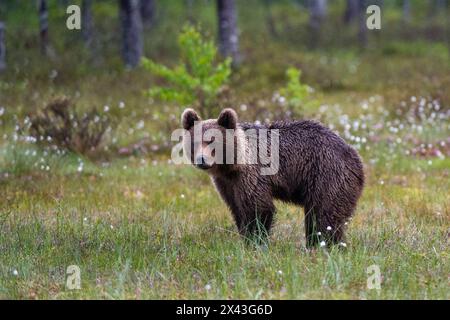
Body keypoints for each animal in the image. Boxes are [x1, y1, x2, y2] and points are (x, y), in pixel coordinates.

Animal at [181, 108, 364, 248]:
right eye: (195, 143)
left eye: (212, 141)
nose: (202, 160)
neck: (232, 165)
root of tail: (355, 156)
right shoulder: (227, 183)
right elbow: (237, 208)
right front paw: (245, 238)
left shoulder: (252, 174)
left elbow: (258, 208)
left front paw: (255, 242)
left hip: (326, 175)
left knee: (324, 214)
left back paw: (324, 245)